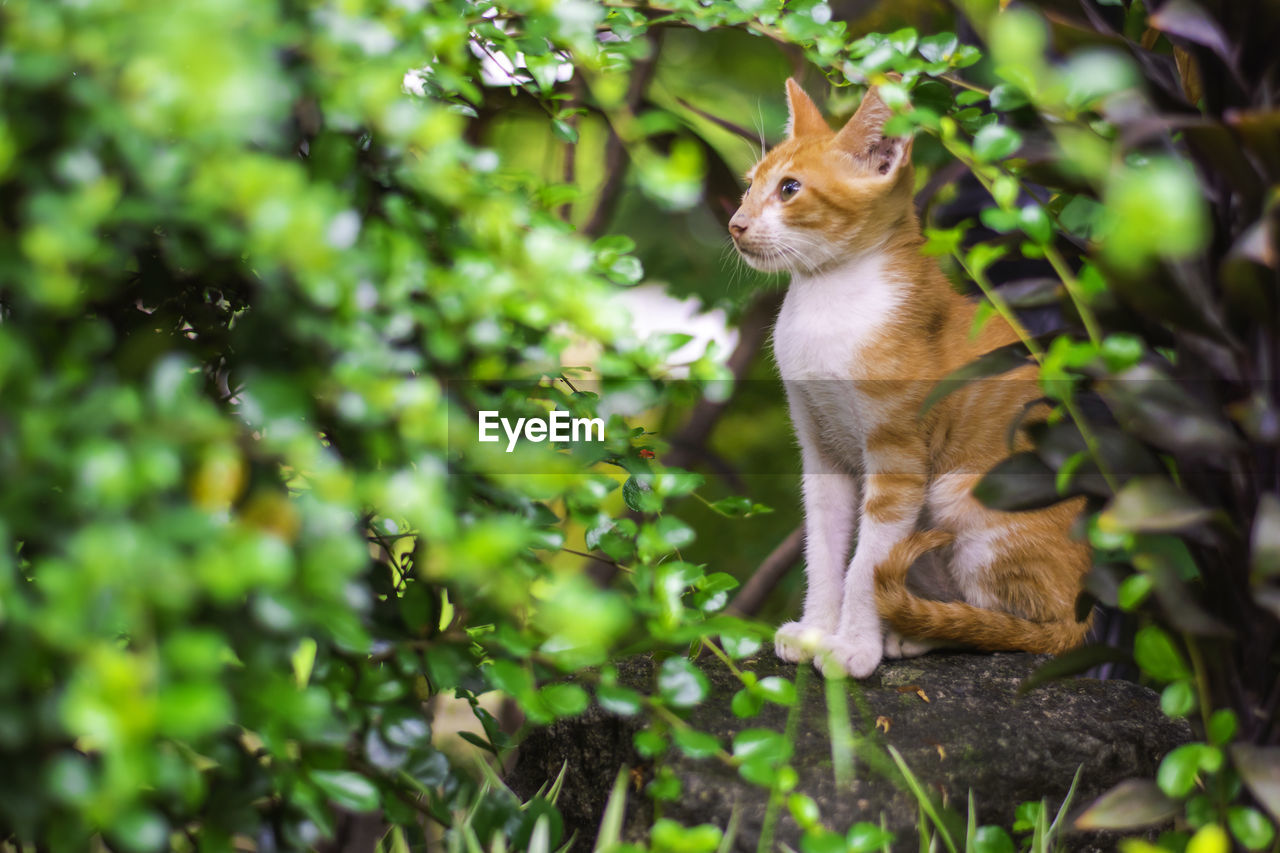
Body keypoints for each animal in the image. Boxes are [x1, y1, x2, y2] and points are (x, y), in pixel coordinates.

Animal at [732, 79, 1090, 676]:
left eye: (789, 189)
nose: (735, 223)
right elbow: (824, 550)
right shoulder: (819, 450)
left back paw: (925, 630)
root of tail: (1085, 611)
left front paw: (853, 647)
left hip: (959, 492)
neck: (825, 303)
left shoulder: (898, 460)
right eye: (749, 186)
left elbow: (867, 564)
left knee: (1029, 628)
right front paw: (816, 630)